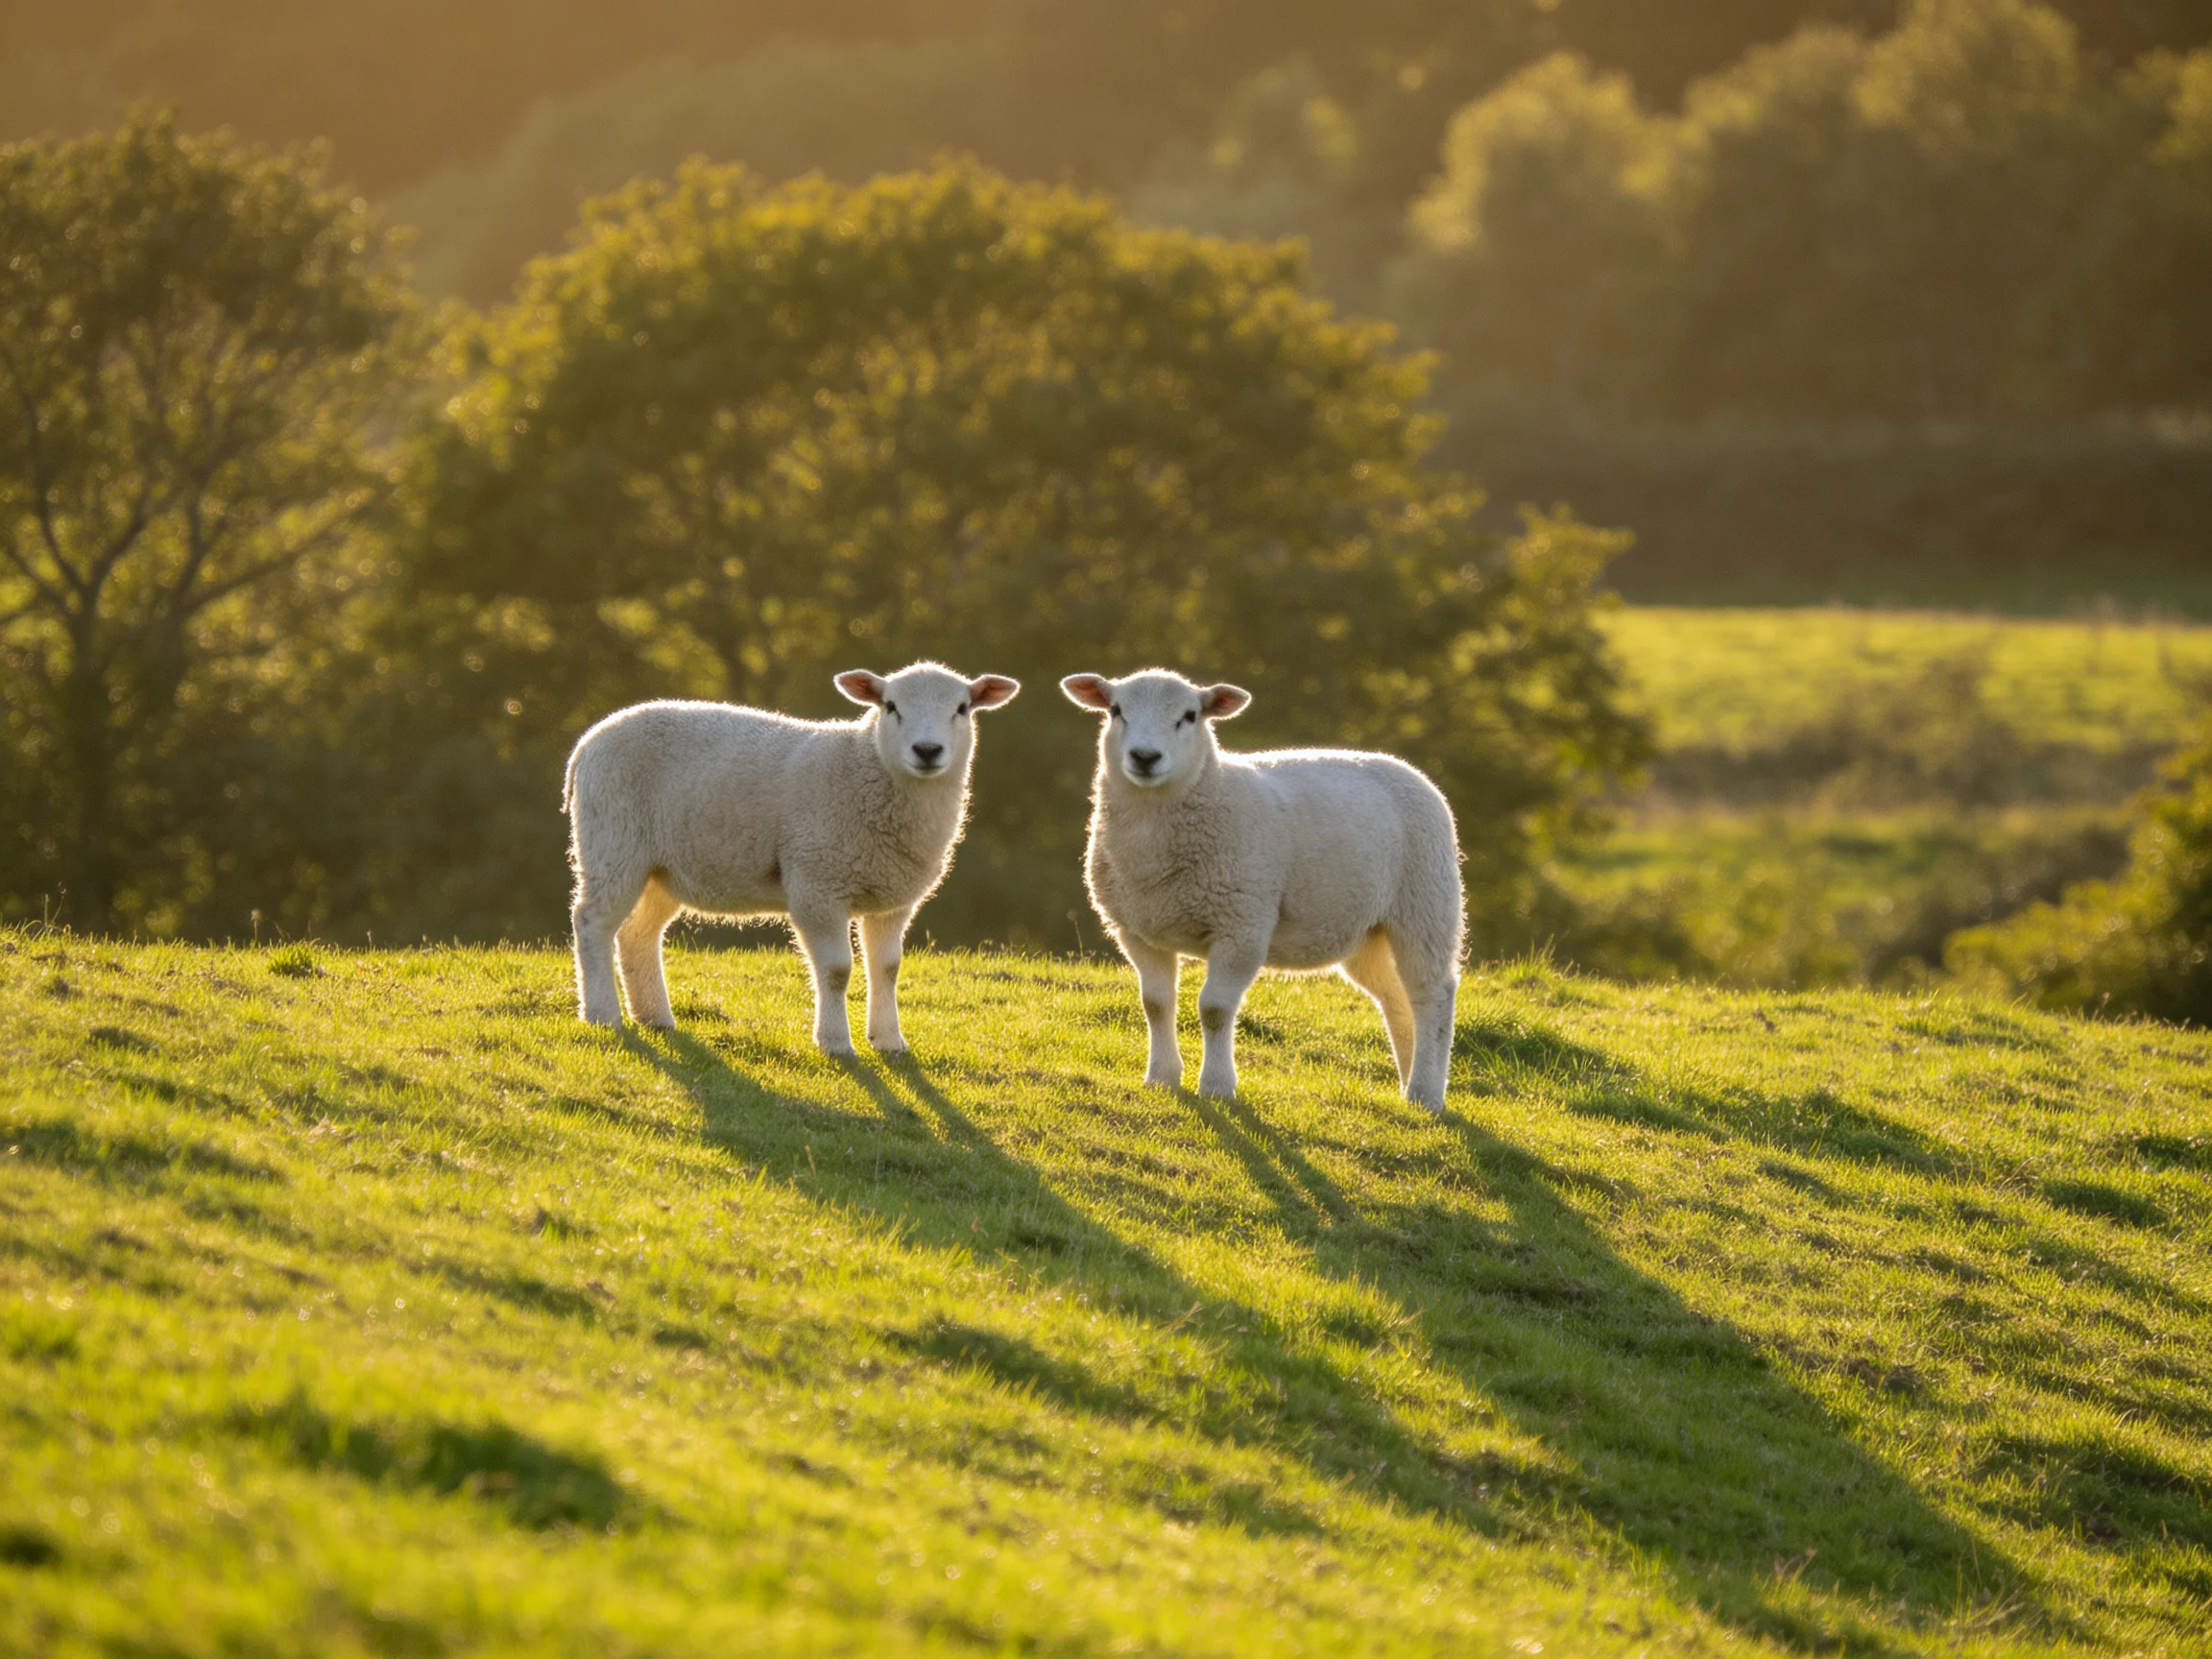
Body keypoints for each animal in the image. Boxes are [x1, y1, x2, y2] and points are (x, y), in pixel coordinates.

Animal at [564, 663, 1019, 1051]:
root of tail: (587, 742)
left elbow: (887, 968)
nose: (927, 750)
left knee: (637, 933)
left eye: (962, 708)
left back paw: (654, 1016)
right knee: (592, 923)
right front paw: (835, 1043)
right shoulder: (817, 884)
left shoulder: (893, 899)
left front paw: (889, 1041)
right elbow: (836, 971)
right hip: (613, 842)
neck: (864, 768)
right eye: (890, 706)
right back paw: (602, 1015)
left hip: (661, 866)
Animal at [1061, 668, 1464, 1111]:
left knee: (1432, 995)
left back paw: (1427, 1092)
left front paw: (1217, 1086)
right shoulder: (1137, 931)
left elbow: (1215, 1009)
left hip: (1426, 903)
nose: (1145, 757)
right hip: (1368, 932)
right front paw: (1161, 1079)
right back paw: (1409, 1085)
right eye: (1116, 711)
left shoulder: (1243, 924)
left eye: (1190, 715)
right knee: (1396, 999)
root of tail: (1408, 769)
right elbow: (1156, 1004)